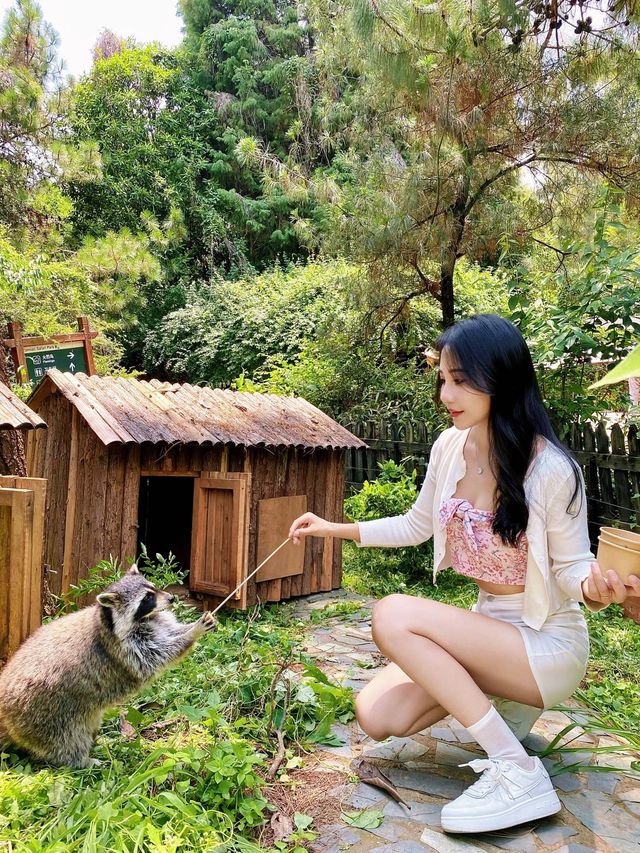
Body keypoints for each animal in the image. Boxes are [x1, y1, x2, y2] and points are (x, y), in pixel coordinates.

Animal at [0, 564, 216, 768]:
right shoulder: (125, 648)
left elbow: (169, 631)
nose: (172, 598)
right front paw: (192, 633)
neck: (106, 619)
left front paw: (191, 626)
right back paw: (82, 761)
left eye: (153, 587)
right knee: (67, 740)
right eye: (147, 598)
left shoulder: (153, 624)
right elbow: (156, 655)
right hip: (48, 712)